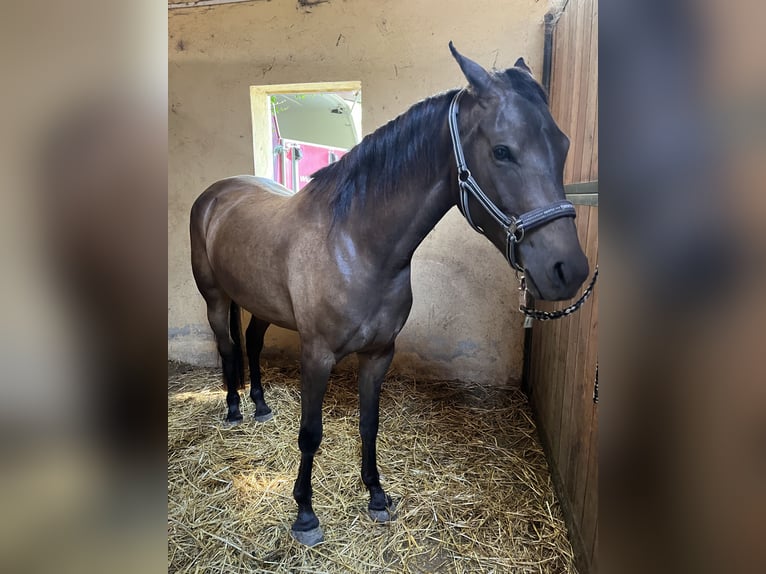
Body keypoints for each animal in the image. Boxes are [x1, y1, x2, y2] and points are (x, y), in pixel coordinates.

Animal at [189, 42, 589, 546]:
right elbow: (310, 432)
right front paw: (305, 514)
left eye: (563, 145)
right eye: (502, 150)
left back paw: (260, 406)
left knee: (253, 343)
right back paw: (234, 410)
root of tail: (216, 193)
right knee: (227, 347)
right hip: (216, 297)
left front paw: (377, 496)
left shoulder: (379, 352)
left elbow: (369, 422)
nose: (568, 270)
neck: (355, 243)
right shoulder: (316, 354)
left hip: (261, 305)